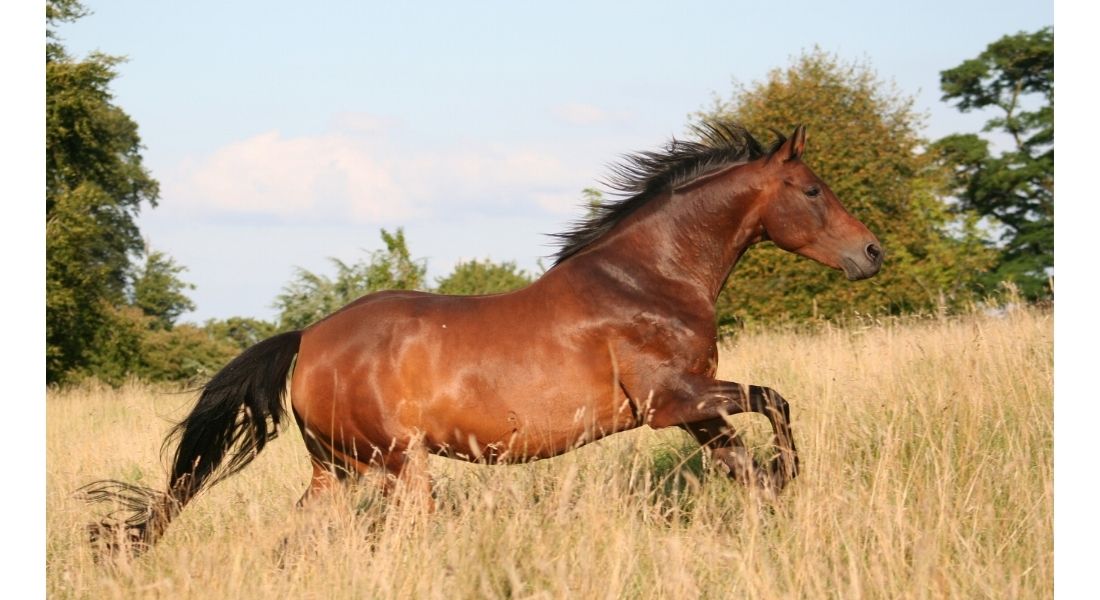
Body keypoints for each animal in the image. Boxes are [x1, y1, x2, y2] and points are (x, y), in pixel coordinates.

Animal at [81, 122, 884, 557]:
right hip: (399, 468)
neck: (648, 279)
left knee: (298, 539)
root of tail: (308, 340)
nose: (872, 253)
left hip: (336, 471)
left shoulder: (695, 412)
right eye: (812, 191)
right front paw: (791, 476)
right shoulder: (673, 402)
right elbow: (776, 401)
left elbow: (747, 463)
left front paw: (777, 503)